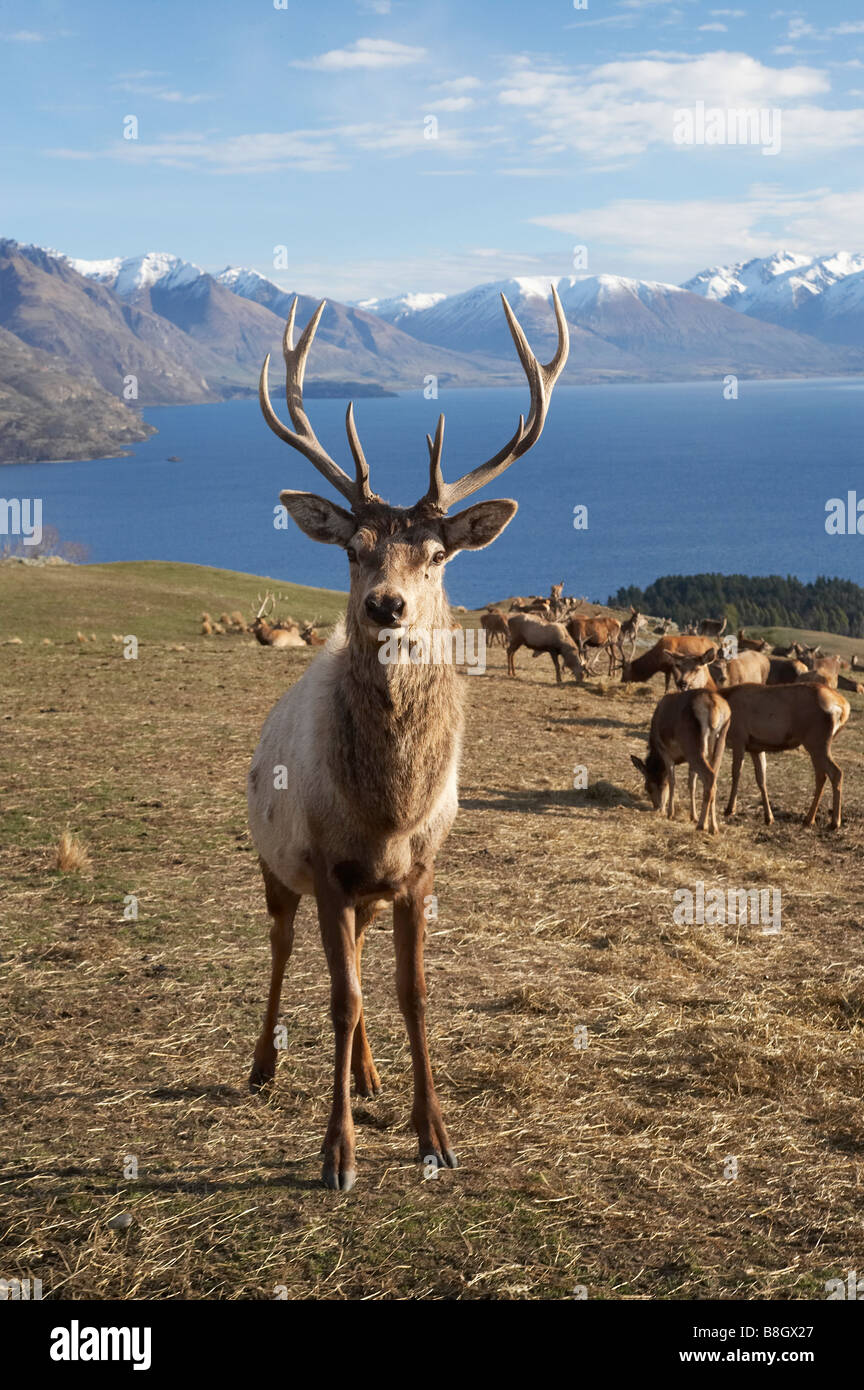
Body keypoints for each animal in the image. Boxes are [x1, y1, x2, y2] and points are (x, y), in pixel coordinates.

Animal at [247, 287, 572, 1189]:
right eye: (353, 549)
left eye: (435, 554)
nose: (385, 606)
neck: (388, 811)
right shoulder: (324, 864)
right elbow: (341, 996)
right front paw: (337, 1154)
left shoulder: (420, 869)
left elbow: (411, 993)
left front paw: (435, 1136)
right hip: (273, 861)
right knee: (281, 950)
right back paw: (261, 1066)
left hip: (364, 894)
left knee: (354, 962)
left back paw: (367, 1074)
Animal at [722, 681, 855, 822]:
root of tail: (844, 707)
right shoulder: (755, 747)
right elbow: (761, 779)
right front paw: (769, 817)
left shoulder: (739, 738)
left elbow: (736, 773)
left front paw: (729, 809)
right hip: (816, 746)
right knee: (821, 775)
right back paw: (809, 819)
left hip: (817, 743)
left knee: (836, 772)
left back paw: (834, 822)